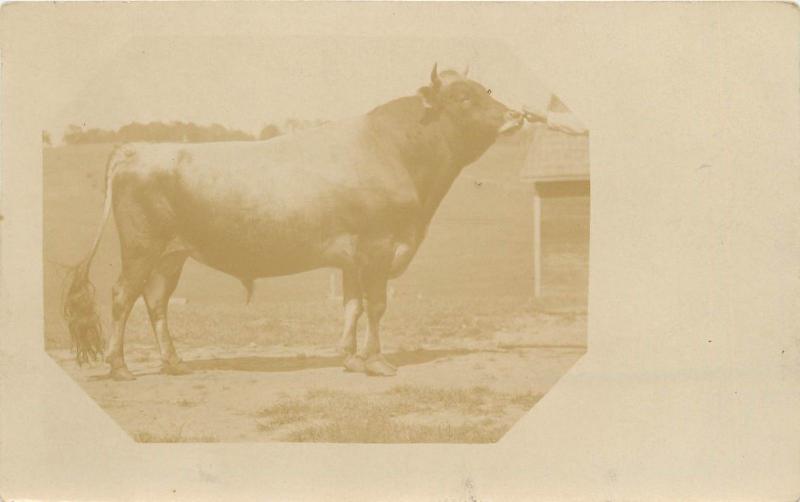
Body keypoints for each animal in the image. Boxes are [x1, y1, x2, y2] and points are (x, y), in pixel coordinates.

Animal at [62, 65, 524, 380]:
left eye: (485, 89)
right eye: (463, 98)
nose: (517, 116)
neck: (396, 151)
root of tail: (137, 149)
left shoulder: (353, 257)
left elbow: (352, 305)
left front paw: (350, 358)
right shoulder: (378, 246)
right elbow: (376, 305)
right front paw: (377, 361)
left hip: (170, 256)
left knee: (156, 301)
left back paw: (174, 363)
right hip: (142, 248)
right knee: (122, 296)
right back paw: (119, 366)